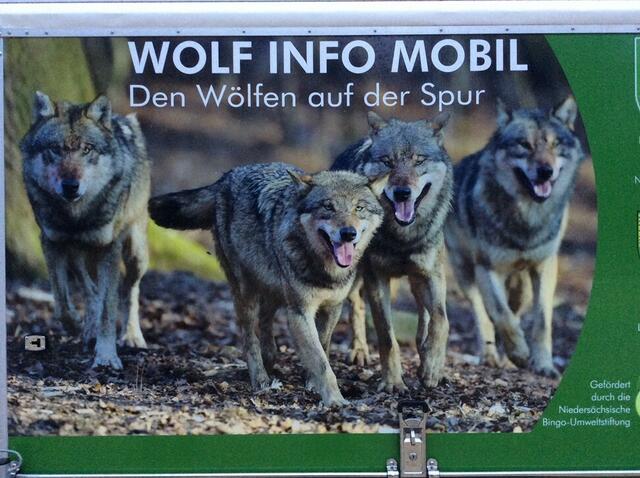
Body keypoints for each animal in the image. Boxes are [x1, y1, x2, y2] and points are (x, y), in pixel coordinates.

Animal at [21, 92, 151, 369]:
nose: (71, 186)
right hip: (77, 256)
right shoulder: (51, 242)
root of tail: (123, 118)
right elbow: (62, 303)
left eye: (87, 149)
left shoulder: (109, 248)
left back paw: (132, 336)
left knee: (130, 291)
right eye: (56, 149)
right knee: (90, 290)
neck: (76, 217)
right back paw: (89, 329)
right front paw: (77, 326)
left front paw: (107, 355)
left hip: (135, 252)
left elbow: (108, 307)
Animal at [148, 163, 385, 406]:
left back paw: (270, 356)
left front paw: (312, 383)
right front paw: (334, 400)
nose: (348, 233)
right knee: (249, 339)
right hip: (246, 294)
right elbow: (320, 361)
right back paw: (260, 379)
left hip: (272, 289)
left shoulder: (333, 307)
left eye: (359, 208)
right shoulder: (299, 311)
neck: (325, 271)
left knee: (265, 319)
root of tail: (226, 178)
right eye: (328, 207)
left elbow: (323, 346)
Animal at [331, 112, 454, 391]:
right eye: (388, 161)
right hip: (354, 274)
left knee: (424, 319)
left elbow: (441, 320)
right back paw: (359, 351)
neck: (402, 238)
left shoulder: (431, 275)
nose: (402, 193)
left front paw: (432, 368)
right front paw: (393, 382)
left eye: (419, 160)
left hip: (417, 282)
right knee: (356, 306)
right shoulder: (377, 279)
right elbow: (387, 336)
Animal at [445, 96, 584, 377]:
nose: (545, 171)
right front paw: (519, 353)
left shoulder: (545, 267)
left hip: (522, 287)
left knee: (516, 310)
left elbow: (541, 322)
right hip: (465, 273)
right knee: (483, 314)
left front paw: (543, 365)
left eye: (555, 144)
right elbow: (501, 315)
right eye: (524, 145)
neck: (527, 220)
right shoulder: (487, 269)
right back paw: (491, 356)